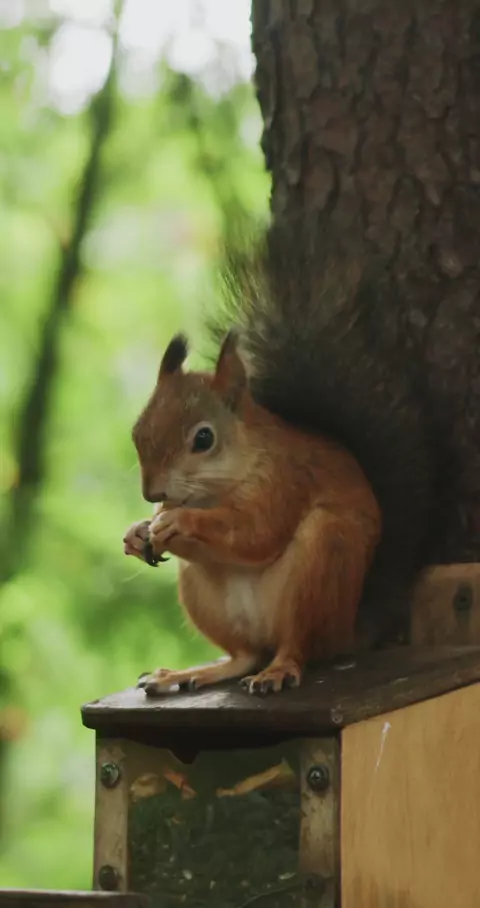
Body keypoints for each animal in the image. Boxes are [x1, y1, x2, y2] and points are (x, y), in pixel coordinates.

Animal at [123, 217, 448, 697]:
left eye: (204, 438)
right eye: (138, 431)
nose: (152, 493)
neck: (221, 484)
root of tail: (348, 630)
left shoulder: (286, 481)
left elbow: (256, 532)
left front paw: (180, 522)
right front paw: (138, 532)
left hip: (321, 562)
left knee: (295, 646)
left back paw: (278, 670)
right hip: (204, 595)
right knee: (244, 654)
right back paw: (189, 673)